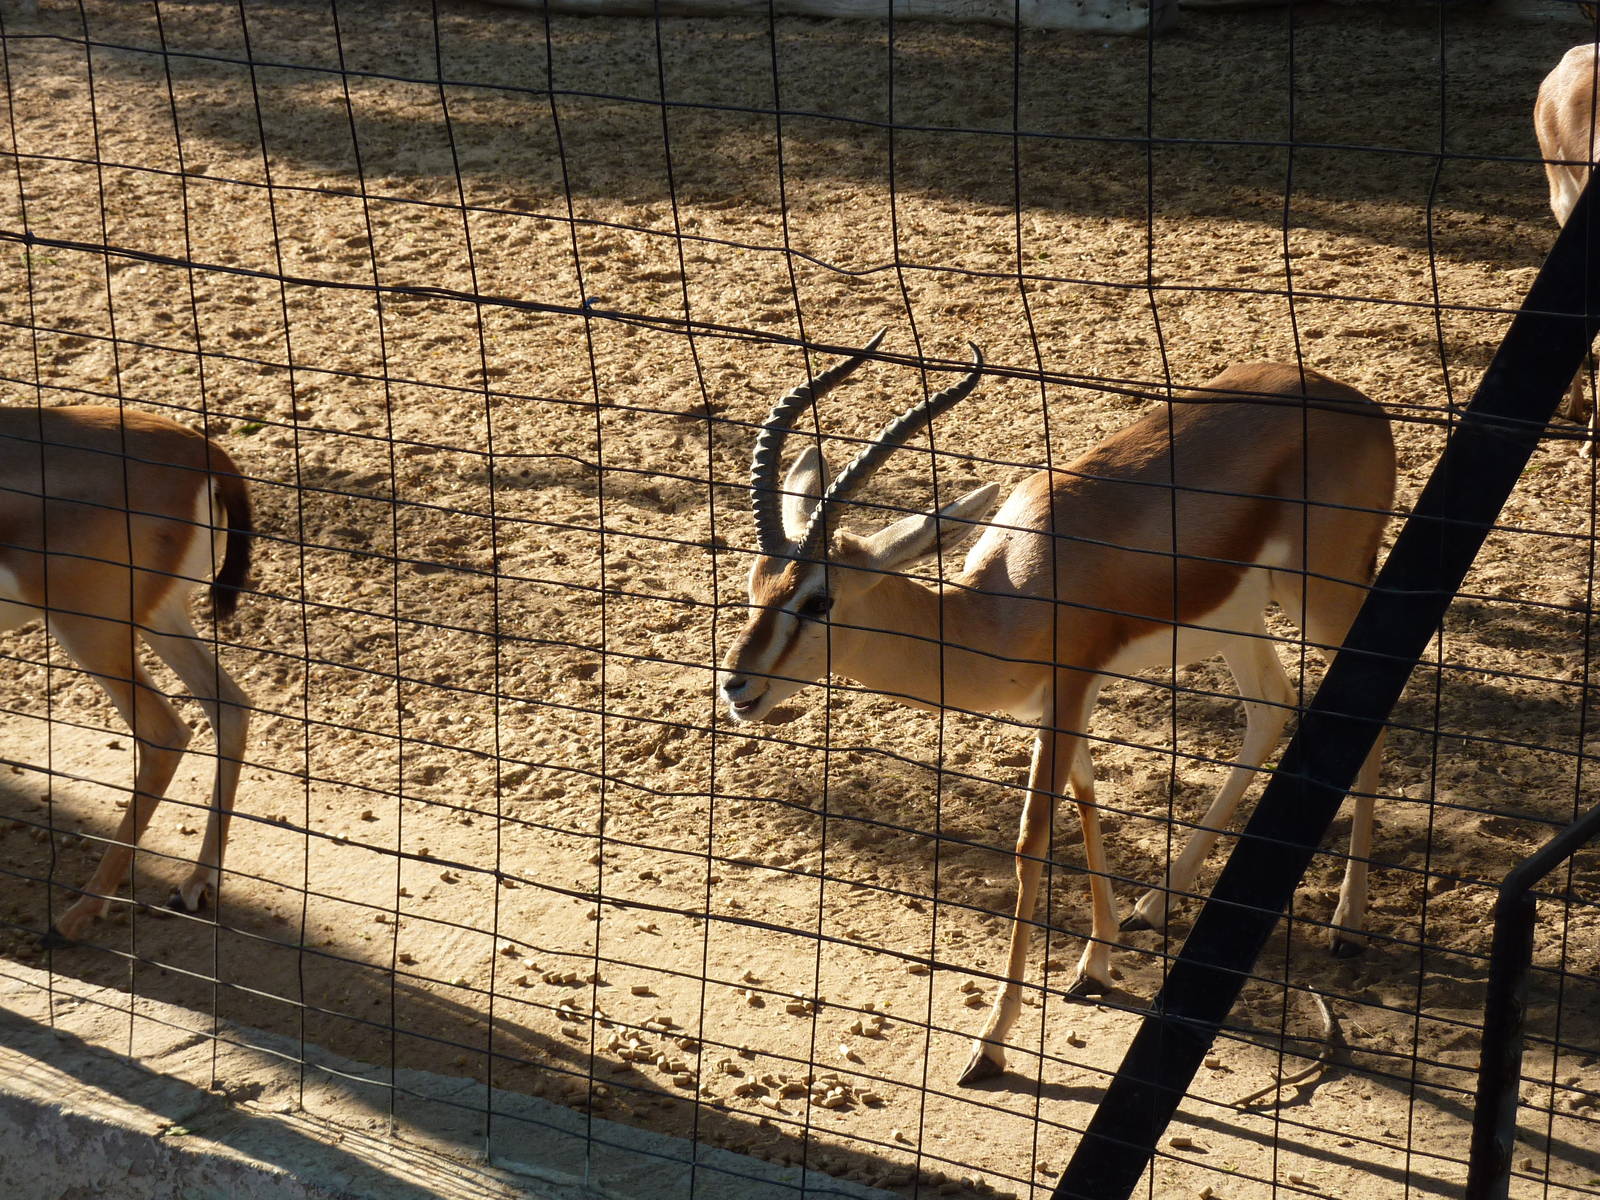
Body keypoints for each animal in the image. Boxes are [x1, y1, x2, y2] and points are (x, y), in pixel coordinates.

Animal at [0, 405, 253, 948]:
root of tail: (205, 454)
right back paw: (195, 884)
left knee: (165, 733)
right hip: (159, 614)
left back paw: (75, 916)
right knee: (228, 705)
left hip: (92, 628)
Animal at [718, 333, 1395, 1085]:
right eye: (755, 581)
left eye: (819, 600)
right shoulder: (1058, 700)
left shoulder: (1070, 687)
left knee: (1370, 701)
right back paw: (1157, 902)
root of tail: (1357, 404)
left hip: (1324, 598)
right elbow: (1088, 797)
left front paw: (990, 1042)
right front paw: (1095, 962)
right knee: (1271, 710)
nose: (737, 686)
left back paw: (1347, 925)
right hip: (1240, 620)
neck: (1006, 601)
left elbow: (1032, 840)